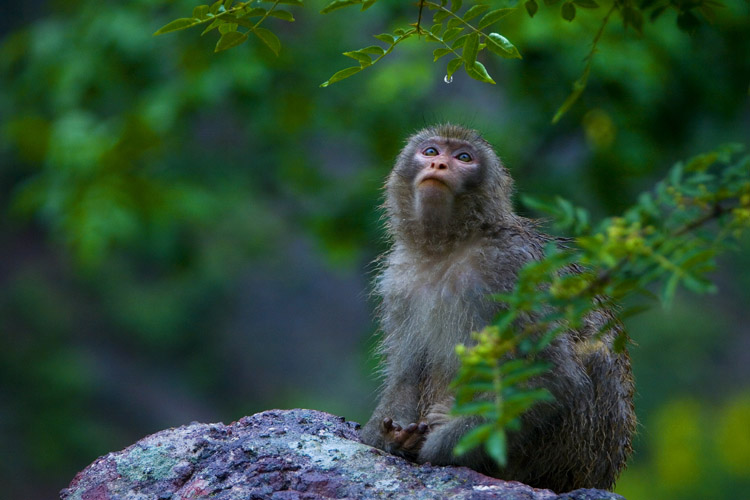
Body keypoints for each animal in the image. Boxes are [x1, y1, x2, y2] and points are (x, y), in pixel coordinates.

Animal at [362, 124, 636, 492]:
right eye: (431, 151)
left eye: (464, 157)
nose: (438, 165)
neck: (445, 248)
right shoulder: (399, 281)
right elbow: (406, 374)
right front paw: (391, 438)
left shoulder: (508, 267)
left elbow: (553, 376)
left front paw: (438, 445)